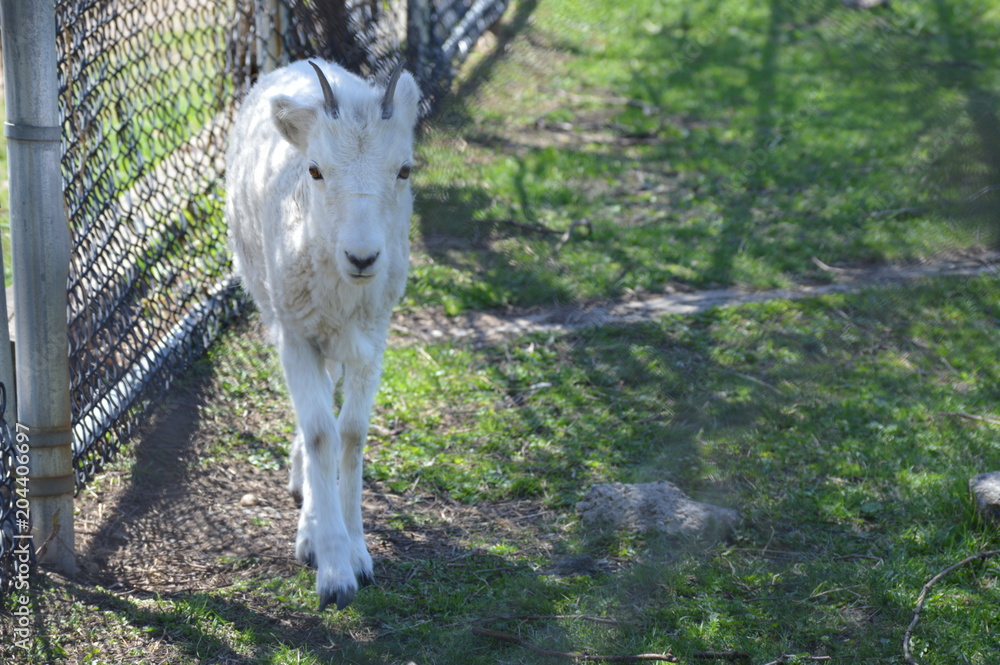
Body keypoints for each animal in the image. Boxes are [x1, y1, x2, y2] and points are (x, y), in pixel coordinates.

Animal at [225, 59, 420, 608]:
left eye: (404, 169)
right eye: (315, 170)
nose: (362, 258)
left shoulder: (373, 340)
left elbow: (350, 433)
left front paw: (358, 555)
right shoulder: (296, 336)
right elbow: (319, 432)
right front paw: (333, 572)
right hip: (274, 308)